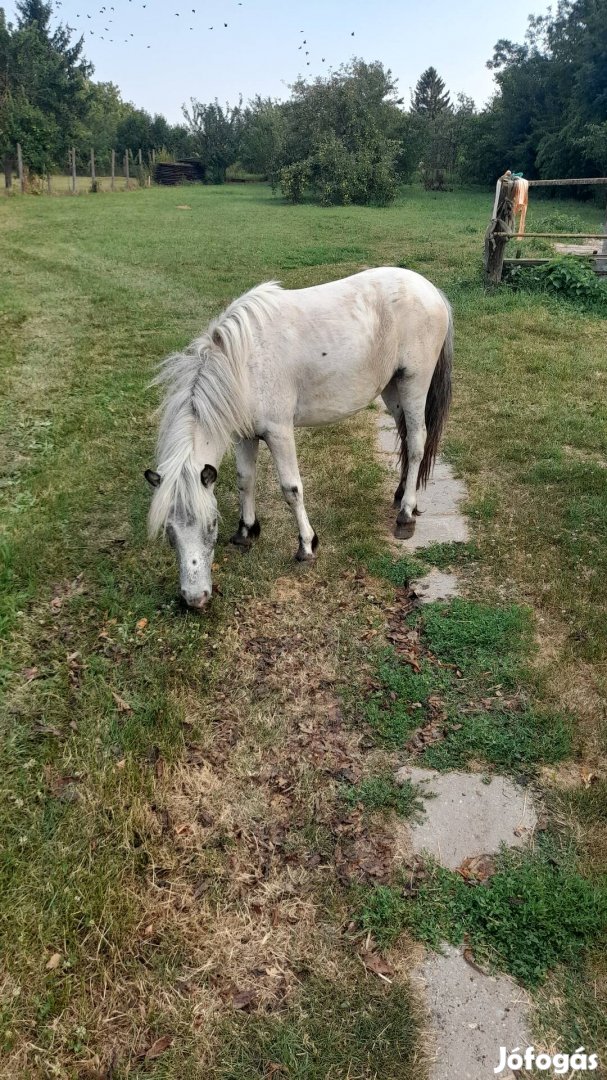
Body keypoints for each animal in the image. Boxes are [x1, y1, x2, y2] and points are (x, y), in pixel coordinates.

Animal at [143, 267, 451, 609]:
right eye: (170, 532)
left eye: (211, 524)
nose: (194, 598)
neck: (244, 365)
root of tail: (429, 289)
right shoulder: (244, 435)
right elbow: (244, 480)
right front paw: (246, 532)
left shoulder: (279, 433)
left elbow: (291, 490)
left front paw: (307, 545)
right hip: (392, 387)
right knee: (405, 436)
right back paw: (399, 495)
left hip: (414, 383)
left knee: (416, 442)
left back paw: (405, 515)